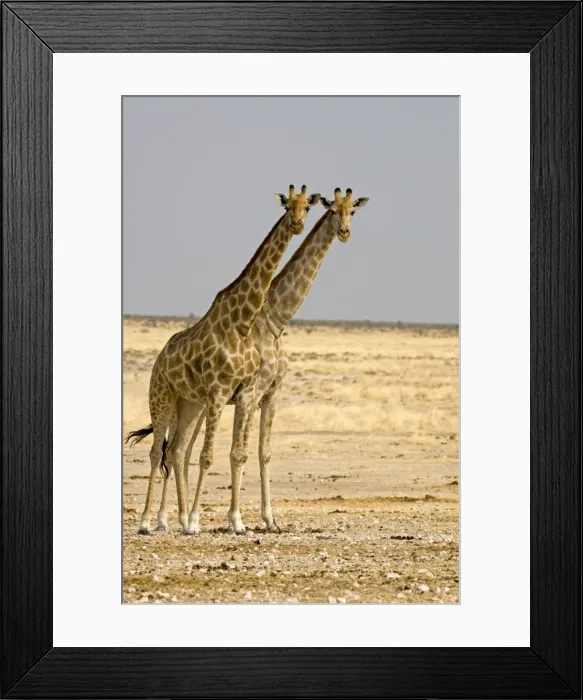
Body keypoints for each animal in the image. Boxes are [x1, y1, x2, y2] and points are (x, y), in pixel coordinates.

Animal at [158, 188, 369, 533]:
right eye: (332, 210)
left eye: (353, 211)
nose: (345, 232)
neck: (274, 319)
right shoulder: (250, 393)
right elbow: (237, 453)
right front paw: (234, 519)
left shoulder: (269, 394)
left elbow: (262, 453)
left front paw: (269, 519)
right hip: (187, 400)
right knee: (176, 449)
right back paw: (169, 519)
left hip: (197, 403)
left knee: (179, 450)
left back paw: (175, 518)